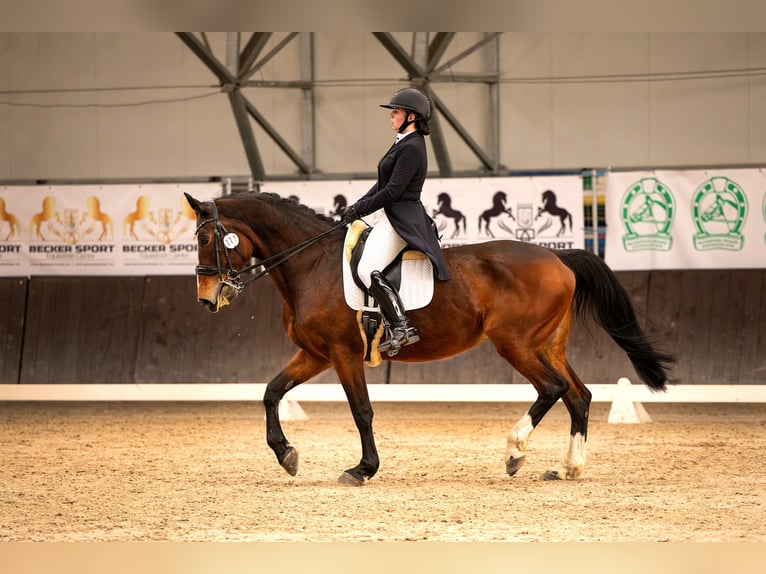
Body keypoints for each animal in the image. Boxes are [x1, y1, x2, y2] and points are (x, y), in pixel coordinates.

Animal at [183, 192, 676, 486]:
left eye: (208, 240)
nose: (207, 299)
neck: (311, 264)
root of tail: (560, 260)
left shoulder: (343, 354)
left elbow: (362, 412)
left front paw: (362, 469)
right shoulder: (315, 353)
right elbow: (271, 392)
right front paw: (287, 455)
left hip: (515, 343)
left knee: (553, 389)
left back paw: (515, 452)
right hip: (547, 344)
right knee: (579, 395)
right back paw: (567, 467)